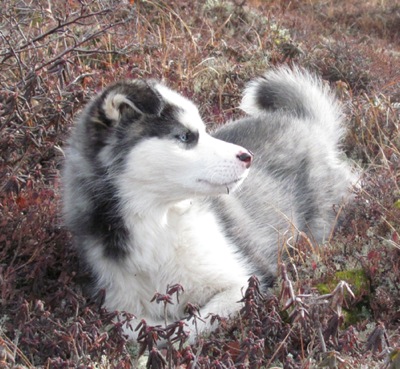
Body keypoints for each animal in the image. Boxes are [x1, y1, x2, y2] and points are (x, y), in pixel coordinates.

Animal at [61, 66, 354, 342]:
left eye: (203, 130)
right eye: (185, 136)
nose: (248, 157)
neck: (159, 226)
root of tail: (304, 122)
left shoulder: (247, 281)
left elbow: (193, 327)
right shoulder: (116, 304)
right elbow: (132, 327)